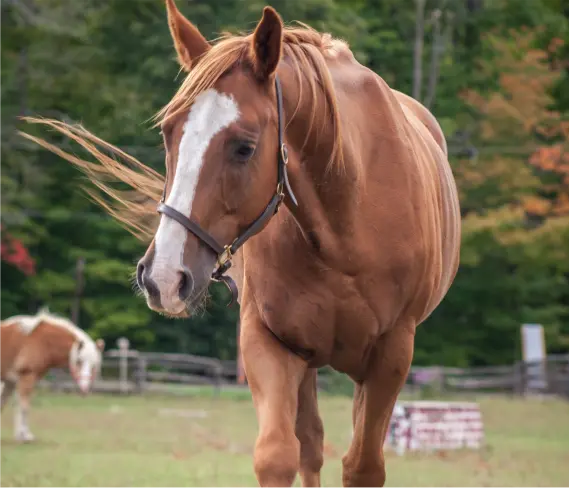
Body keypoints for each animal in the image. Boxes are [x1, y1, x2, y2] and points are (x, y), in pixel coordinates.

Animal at [0, 308, 104, 442]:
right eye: (79, 361)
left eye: (94, 365)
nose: (85, 388)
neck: (41, 341)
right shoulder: (27, 377)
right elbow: (24, 407)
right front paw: (27, 436)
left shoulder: (11, 381)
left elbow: (12, 405)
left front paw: (20, 436)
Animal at [21, 1, 462, 486]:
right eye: (168, 132)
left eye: (245, 147)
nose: (162, 278)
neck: (346, 225)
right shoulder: (268, 342)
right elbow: (278, 456)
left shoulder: (391, 357)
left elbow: (362, 467)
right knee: (310, 446)